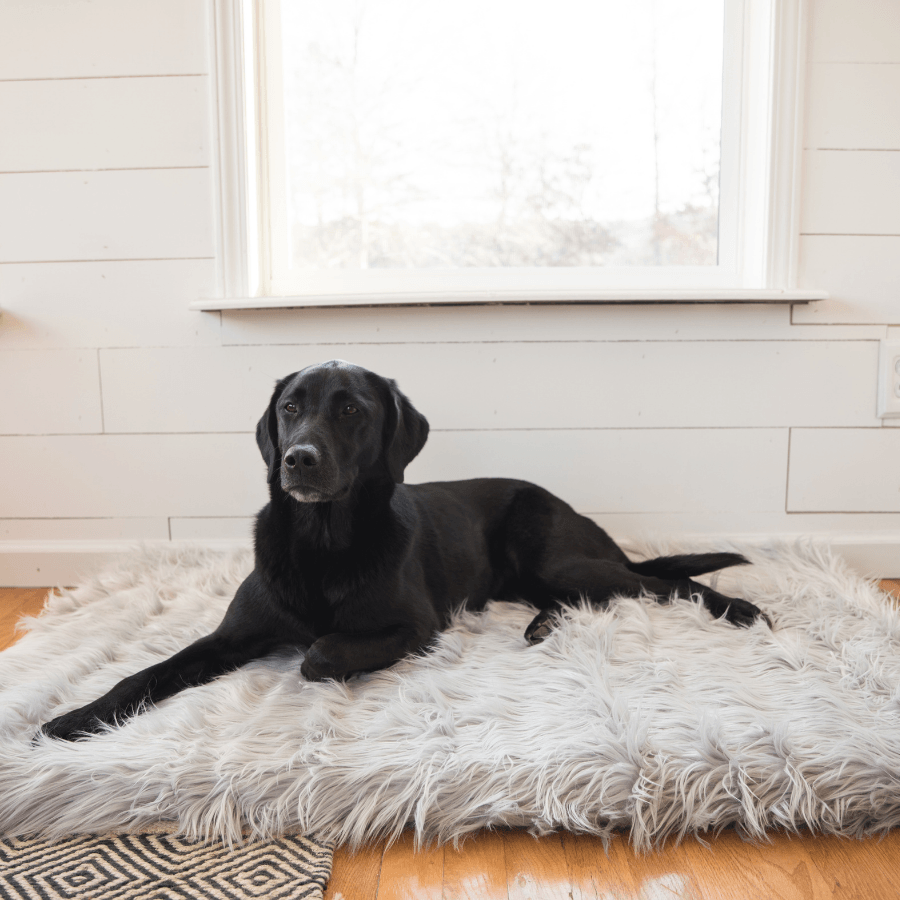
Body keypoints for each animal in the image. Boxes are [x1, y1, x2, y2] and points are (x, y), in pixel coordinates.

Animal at [38, 358, 764, 740]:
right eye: (290, 407)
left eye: (351, 410)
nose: (298, 459)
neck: (322, 542)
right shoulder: (230, 636)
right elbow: (146, 672)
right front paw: (72, 719)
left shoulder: (416, 626)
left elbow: (321, 651)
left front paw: (321, 652)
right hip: (527, 576)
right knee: (590, 594)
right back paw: (542, 625)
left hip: (552, 553)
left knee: (654, 583)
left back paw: (743, 612)